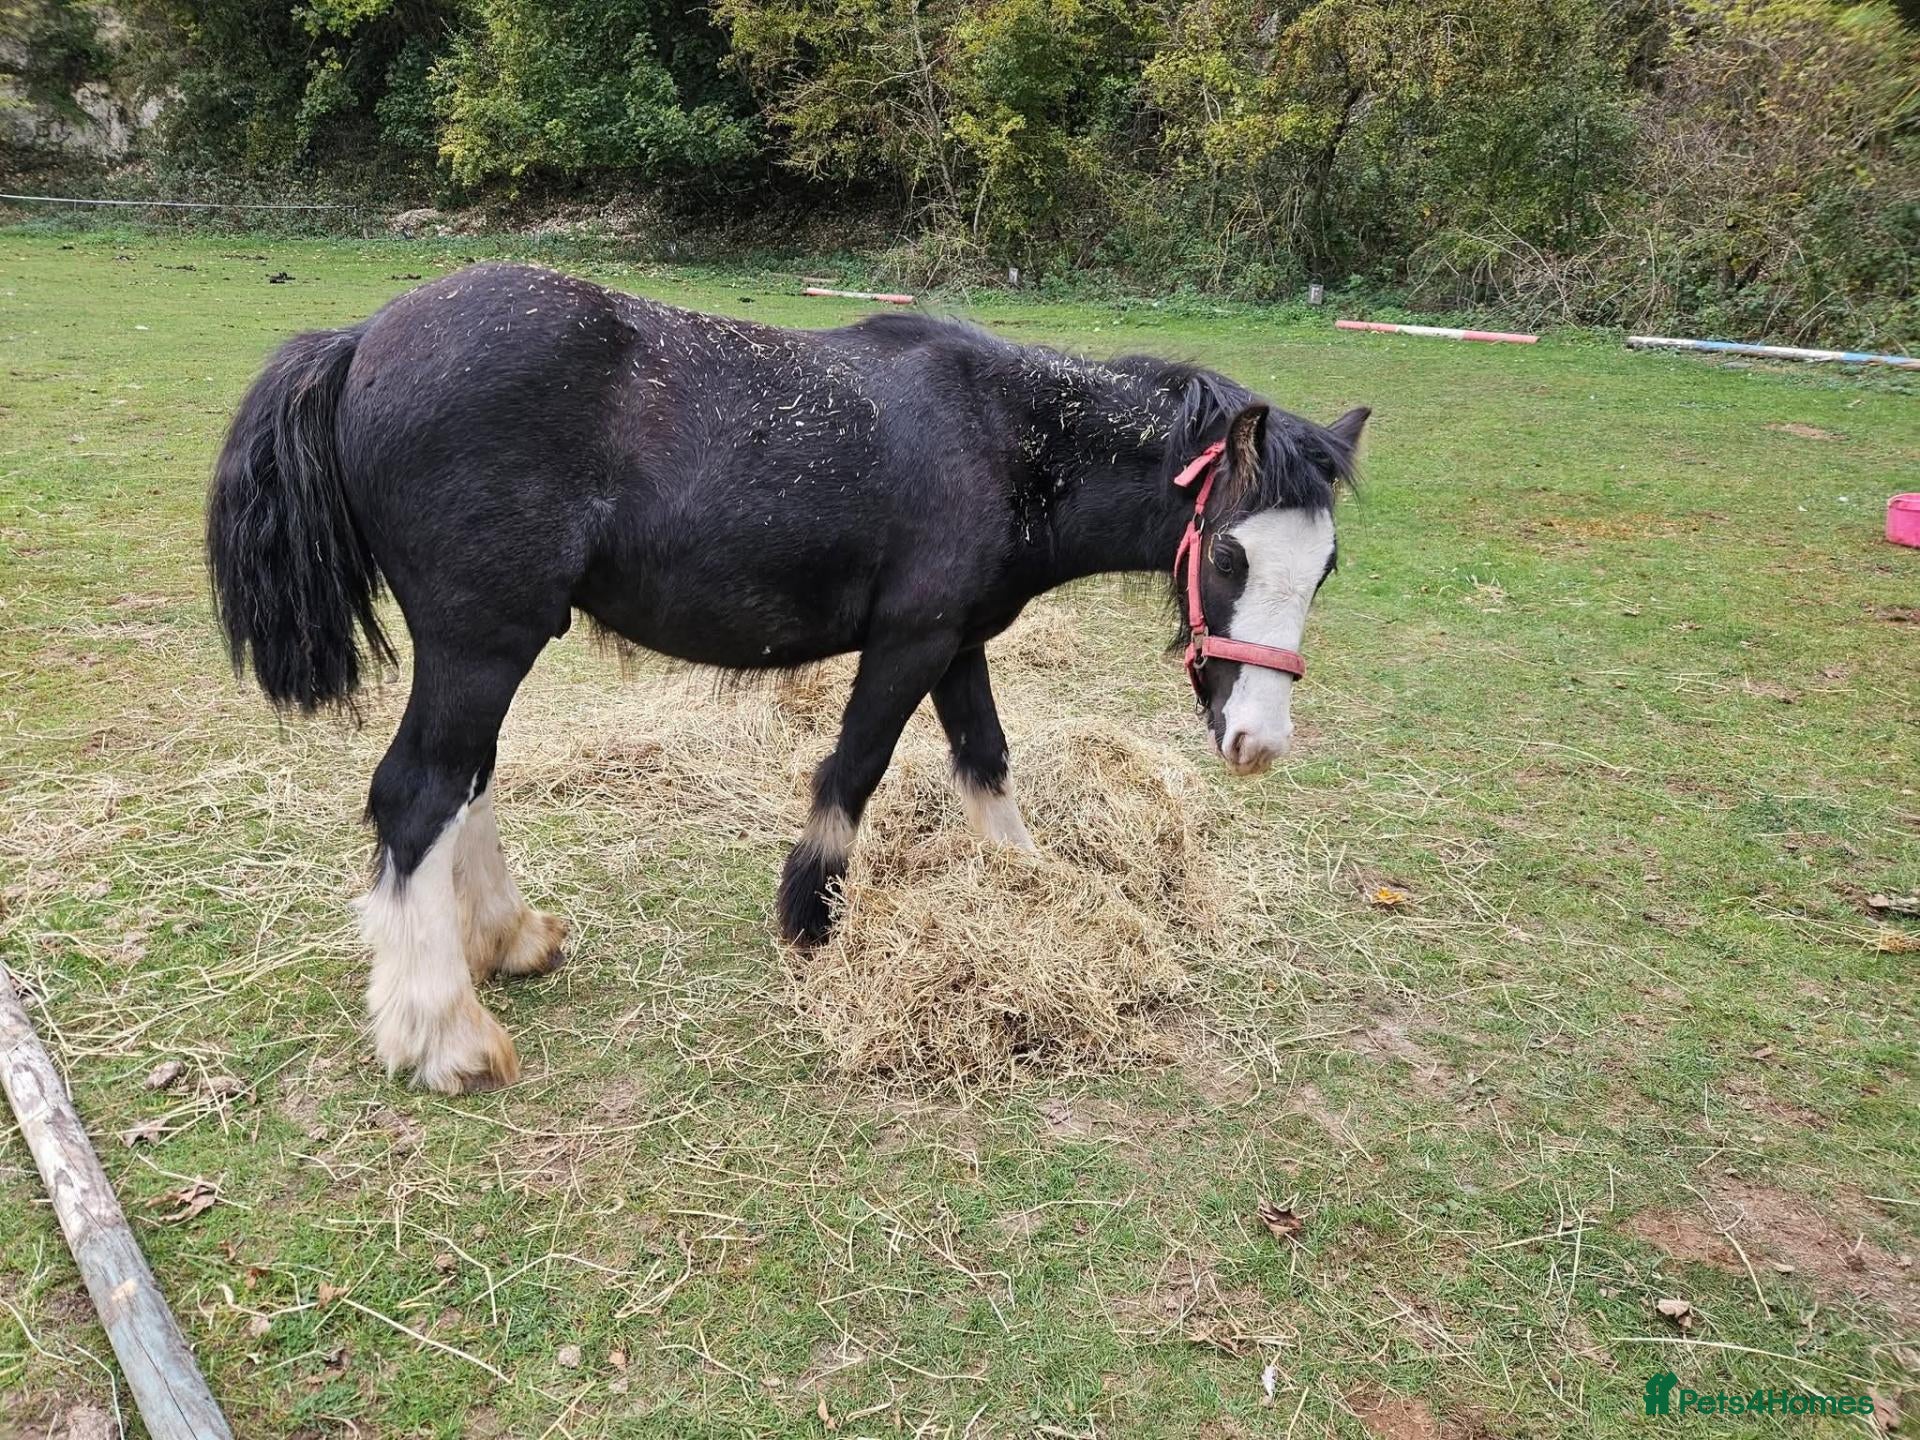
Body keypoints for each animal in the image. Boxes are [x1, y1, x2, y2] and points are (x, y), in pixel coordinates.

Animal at [207, 263, 1366, 1093]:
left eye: (1325, 567)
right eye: (1230, 555)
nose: (1257, 743)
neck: (1004, 439)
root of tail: (361, 343)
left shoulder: (959, 643)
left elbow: (986, 760)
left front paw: (1031, 889)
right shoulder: (908, 642)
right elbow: (853, 769)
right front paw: (811, 916)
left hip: (486, 649)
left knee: (466, 784)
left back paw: (509, 940)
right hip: (483, 641)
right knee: (418, 794)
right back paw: (443, 1035)